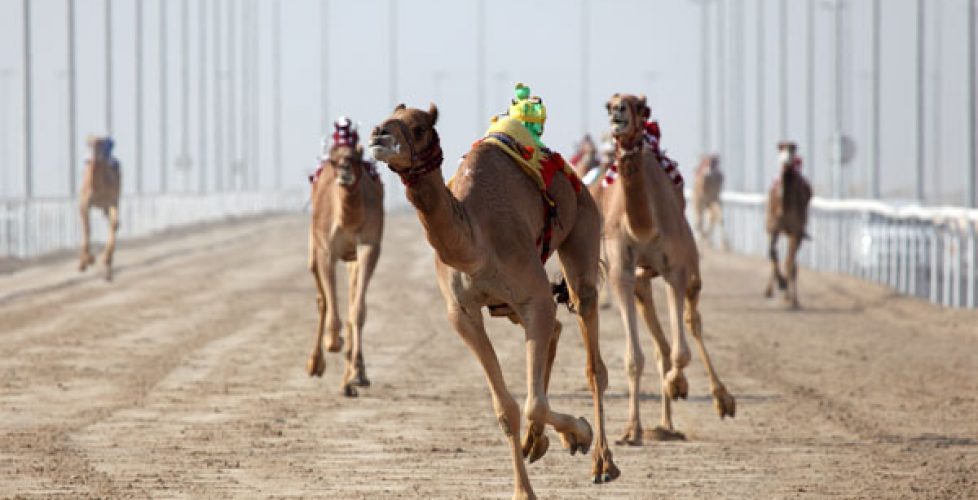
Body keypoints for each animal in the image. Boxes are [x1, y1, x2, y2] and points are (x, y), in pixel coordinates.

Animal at [78, 136, 121, 282]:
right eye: (88, 143)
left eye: (100, 143)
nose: (94, 157)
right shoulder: (84, 203)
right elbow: (87, 228)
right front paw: (85, 261)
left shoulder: (112, 201)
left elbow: (114, 224)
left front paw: (95, 259)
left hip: (110, 203)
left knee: (114, 224)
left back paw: (107, 266)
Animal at [370, 103, 612, 498]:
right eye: (386, 116)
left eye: (419, 127)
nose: (379, 135)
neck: (475, 243)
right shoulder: (462, 313)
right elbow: (506, 408)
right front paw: (525, 486)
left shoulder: (533, 296)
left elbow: (532, 404)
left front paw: (581, 432)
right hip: (508, 305)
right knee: (556, 330)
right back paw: (537, 442)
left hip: (584, 222)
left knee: (592, 352)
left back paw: (603, 463)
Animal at [600, 94, 736, 446]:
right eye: (609, 104)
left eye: (638, 105)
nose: (618, 112)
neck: (643, 226)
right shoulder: (621, 273)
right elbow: (634, 357)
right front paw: (630, 431)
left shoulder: (676, 269)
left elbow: (682, 352)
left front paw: (679, 384)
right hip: (642, 282)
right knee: (660, 341)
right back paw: (663, 424)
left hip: (692, 268)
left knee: (692, 322)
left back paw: (721, 399)